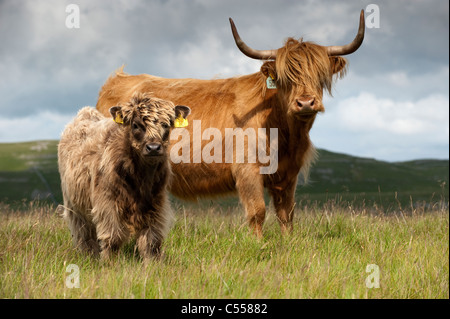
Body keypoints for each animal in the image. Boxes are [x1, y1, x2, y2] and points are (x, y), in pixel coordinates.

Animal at [57, 92, 190, 260]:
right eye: (136, 125)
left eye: (166, 124)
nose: (153, 147)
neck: (141, 178)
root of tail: (85, 112)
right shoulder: (107, 203)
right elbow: (113, 237)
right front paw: (109, 262)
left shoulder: (156, 204)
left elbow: (152, 239)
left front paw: (152, 263)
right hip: (73, 204)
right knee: (83, 232)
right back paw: (89, 256)